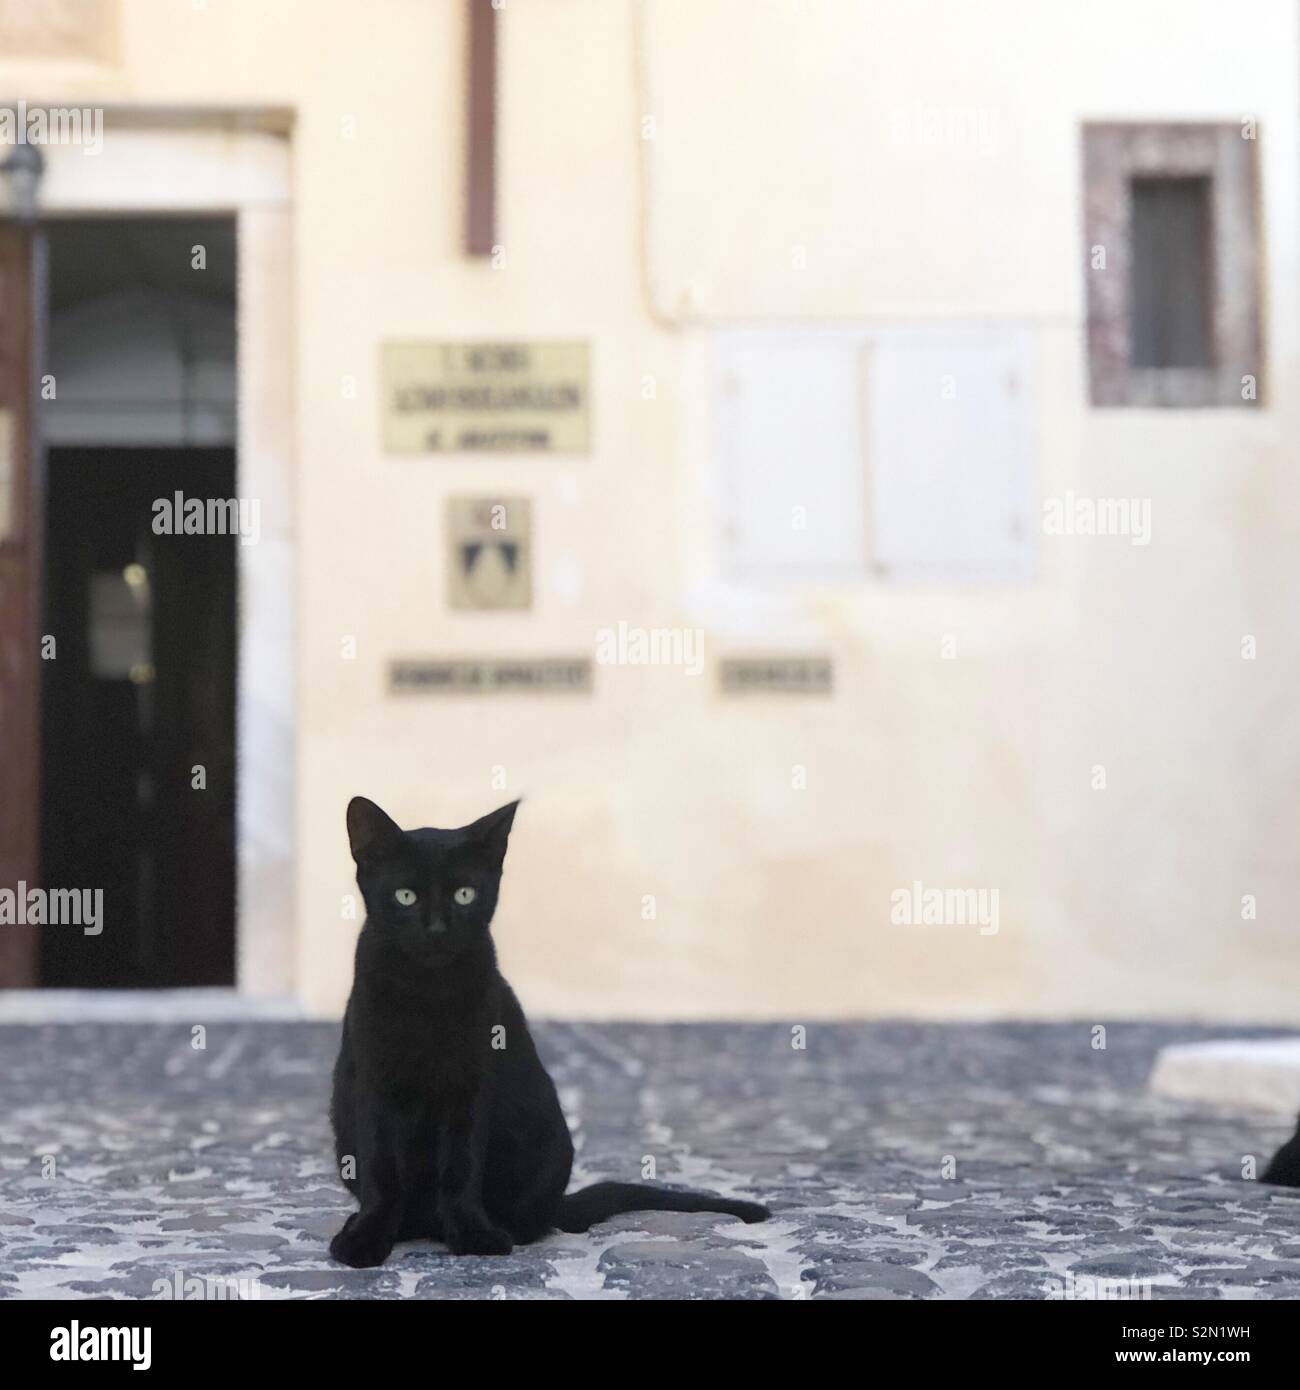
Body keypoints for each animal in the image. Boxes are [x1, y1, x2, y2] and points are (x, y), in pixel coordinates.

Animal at [328, 795, 773, 1273]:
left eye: (465, 894)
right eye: (405, 897)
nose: (437, 928)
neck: (427, 992)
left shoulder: (471, 1085)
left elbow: (460, 1166)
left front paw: (473, 1233)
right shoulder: (373, 1082)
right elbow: (381, 1167)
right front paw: (366, 1236)